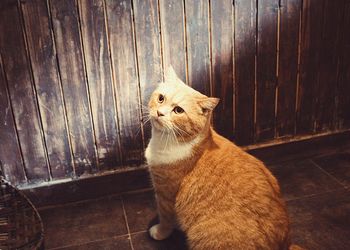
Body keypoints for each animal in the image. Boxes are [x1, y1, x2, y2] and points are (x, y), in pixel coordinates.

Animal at [145, 67, 300, 250]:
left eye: (178, 110)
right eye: (161, 98)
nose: (159, 113)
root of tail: (286, 243)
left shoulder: (165, 194)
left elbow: (165, 218)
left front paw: (160, 232)